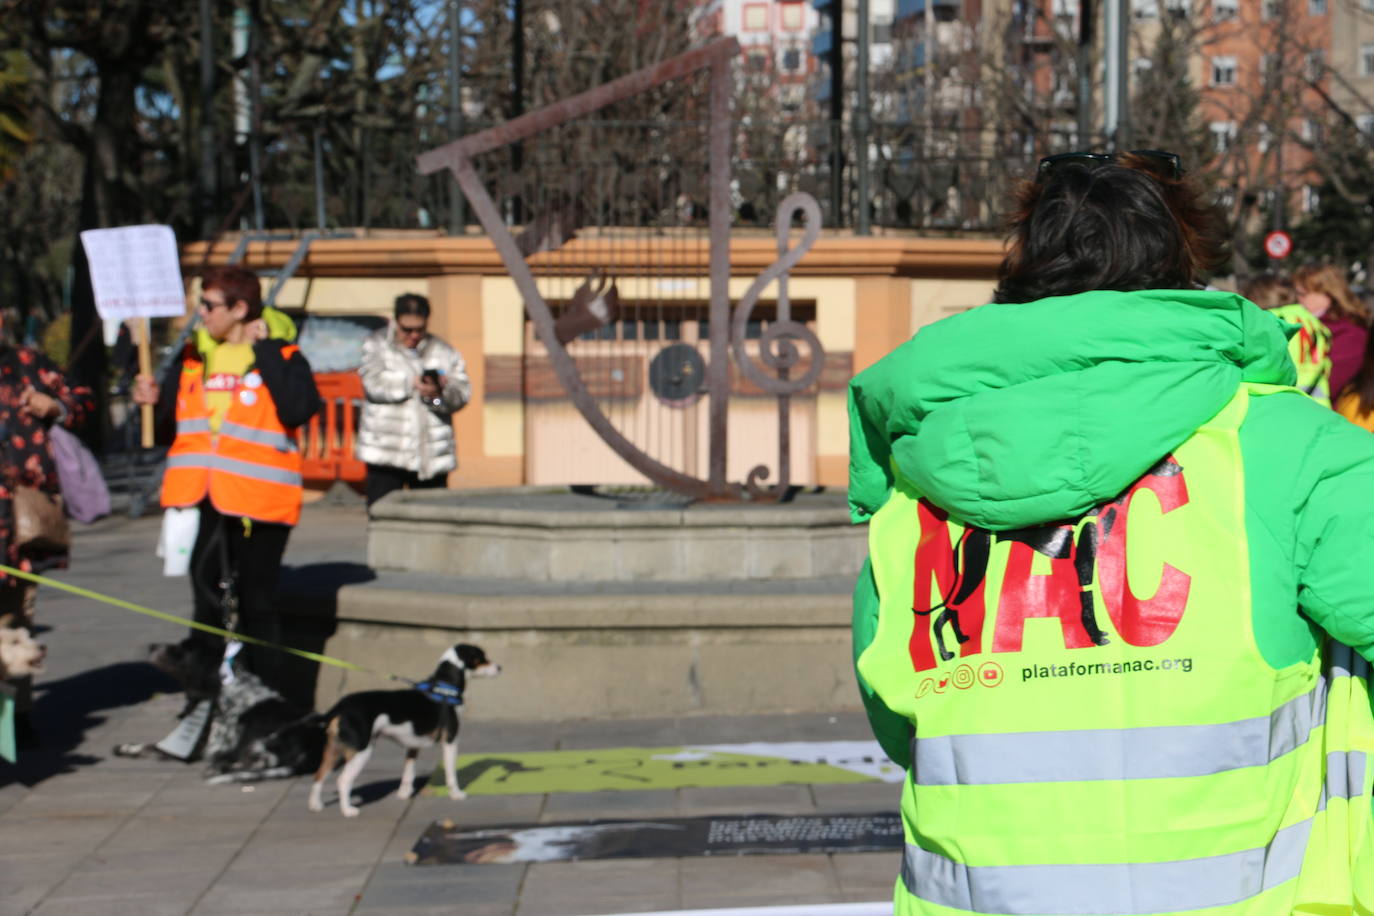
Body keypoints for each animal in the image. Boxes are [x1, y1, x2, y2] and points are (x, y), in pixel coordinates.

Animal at [309, 645, 502, 818]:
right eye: (482, 657)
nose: (500, 667)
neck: (444, 686)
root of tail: (339, 707)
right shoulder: (450, 740)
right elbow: (451, 773)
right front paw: (456, 794)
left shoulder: (413, 746)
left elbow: (408, 773)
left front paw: (404, 794)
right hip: (360, 751)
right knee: (343, 781)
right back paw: (348, 811)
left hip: (333, 751)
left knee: (319, 775)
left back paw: (315, 805)